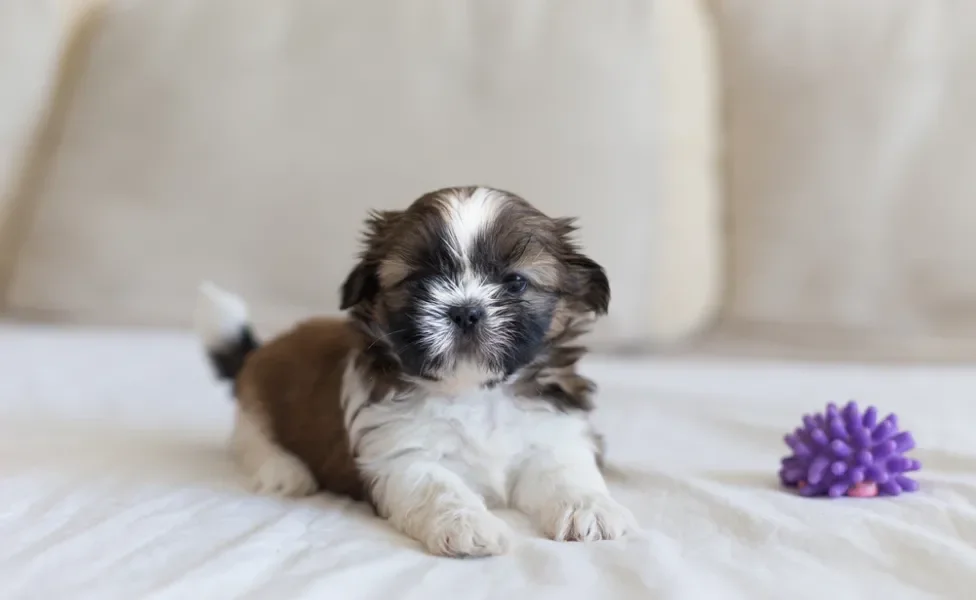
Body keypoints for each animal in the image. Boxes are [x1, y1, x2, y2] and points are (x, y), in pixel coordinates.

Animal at [194, 185, 636, 556]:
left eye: (514, 282)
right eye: (421, 281)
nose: (466, 311)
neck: (474, 390)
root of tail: (260, 351)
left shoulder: (553, 432)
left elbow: (567, 470)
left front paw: (589, 508)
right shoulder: (399, 455)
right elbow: (437, 487)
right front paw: (468, 525)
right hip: (256, 406)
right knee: (252, 442)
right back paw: (285, 470)